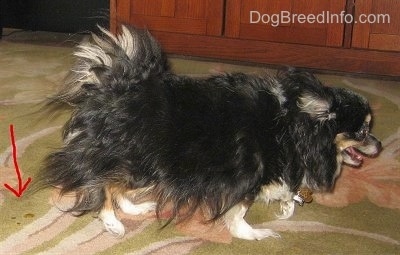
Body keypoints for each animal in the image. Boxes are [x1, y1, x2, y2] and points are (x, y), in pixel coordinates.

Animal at [37, 24, 382, 240]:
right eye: (363, 131)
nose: (379, 145)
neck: (291, 128)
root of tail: (112, 84)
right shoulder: (246, 179)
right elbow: (239, 216)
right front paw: (255, 234)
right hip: (134, 158)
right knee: (102, 185)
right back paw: (112, 222)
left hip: (146, 165)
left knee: (114, 183)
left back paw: (135, 207)